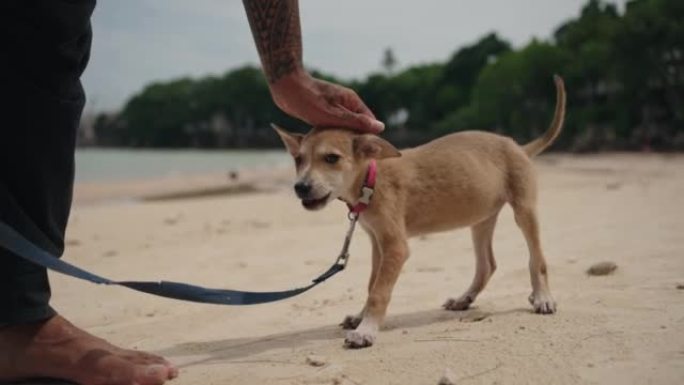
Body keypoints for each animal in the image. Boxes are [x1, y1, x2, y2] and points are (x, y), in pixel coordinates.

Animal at [272, 75, 568, 348]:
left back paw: (542, 297)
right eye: (298, 159)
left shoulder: (396, 247)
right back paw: (464, 299)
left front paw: (366, 330)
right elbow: (372, 284)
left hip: (524, 211)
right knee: (487, 265)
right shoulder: (377, 243)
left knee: (537, 259)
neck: (370, 180)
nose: (301, 187)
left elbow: (379, 291)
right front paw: (361, 317)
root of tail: (518, 146)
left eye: (331, 158)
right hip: (481, 219)